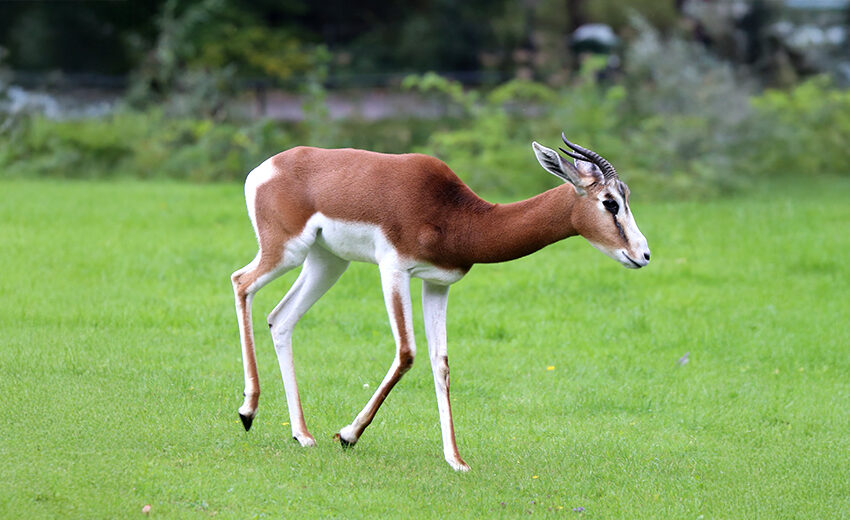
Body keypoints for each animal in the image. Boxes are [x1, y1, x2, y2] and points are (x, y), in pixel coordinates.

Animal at [230, 133, 650, 471]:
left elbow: (441, 363)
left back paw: (302, 435)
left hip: (327, 262)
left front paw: (456, 460)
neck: (458, 217)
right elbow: (406, 352)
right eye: (610, 203)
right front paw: (349, 435)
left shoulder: (436, 284)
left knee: (281, 318)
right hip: (286, 251)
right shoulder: (393, 270)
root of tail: (266, 168)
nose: (643, 255)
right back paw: (248, 411)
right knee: (241, 283)